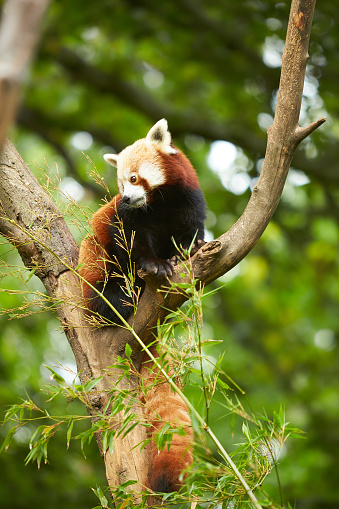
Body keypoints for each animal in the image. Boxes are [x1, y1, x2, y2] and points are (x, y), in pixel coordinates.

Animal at [79, 119, 207, 492]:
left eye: (134, 178)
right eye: (120, 183)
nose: (125, 196)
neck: (158, 204)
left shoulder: (188, 203)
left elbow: (190, 233)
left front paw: (187, 252)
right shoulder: (124, 219)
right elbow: (130, 244)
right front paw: (154, 265)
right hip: (92, 273)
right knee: (105, 289)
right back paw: (122, 299)